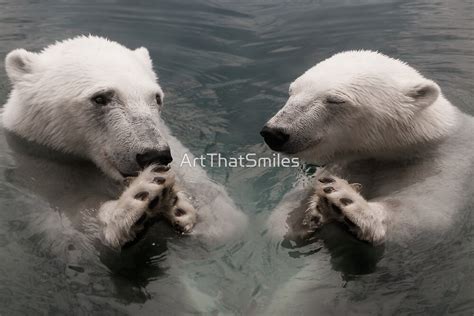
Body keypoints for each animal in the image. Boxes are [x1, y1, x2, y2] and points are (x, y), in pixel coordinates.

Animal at [2, 35, 248, 248]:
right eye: (100, 98)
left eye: (156, 98)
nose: (154, 154)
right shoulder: (40, 172)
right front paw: (140, 200)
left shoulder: (176, 152)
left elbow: (229, 222)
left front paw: (181, 208)